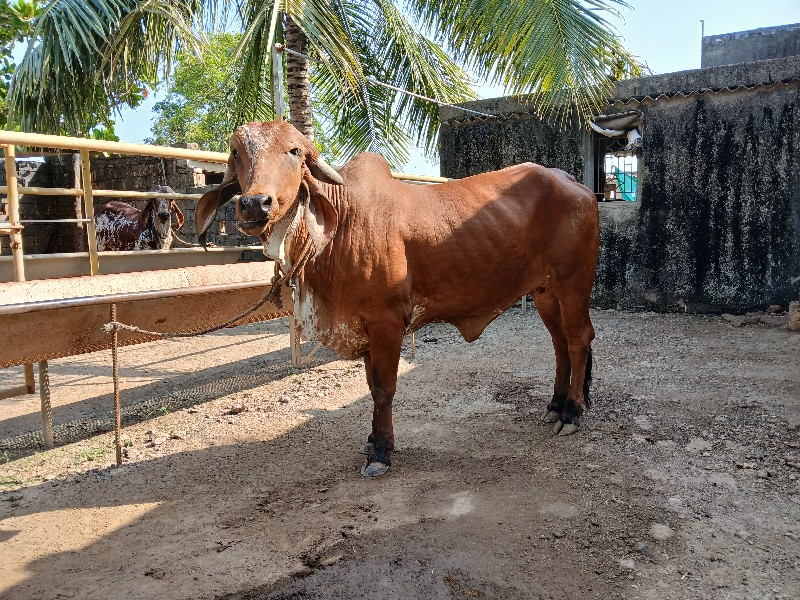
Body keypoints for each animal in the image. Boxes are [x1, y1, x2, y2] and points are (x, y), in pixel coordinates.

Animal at [195, 120, 600, 478]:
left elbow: (384, 389)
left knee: (579, 339)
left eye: (294, 151)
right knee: (560, 343)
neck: (341, 226)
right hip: (545, 292)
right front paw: (372, 440)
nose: (255, 204)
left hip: (574, 284)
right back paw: (556, 406)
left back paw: (573, 413)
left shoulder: (386, 322)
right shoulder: (363, 328)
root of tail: (573, 182)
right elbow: (371, 386)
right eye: (236, 152)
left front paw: (382, 453)